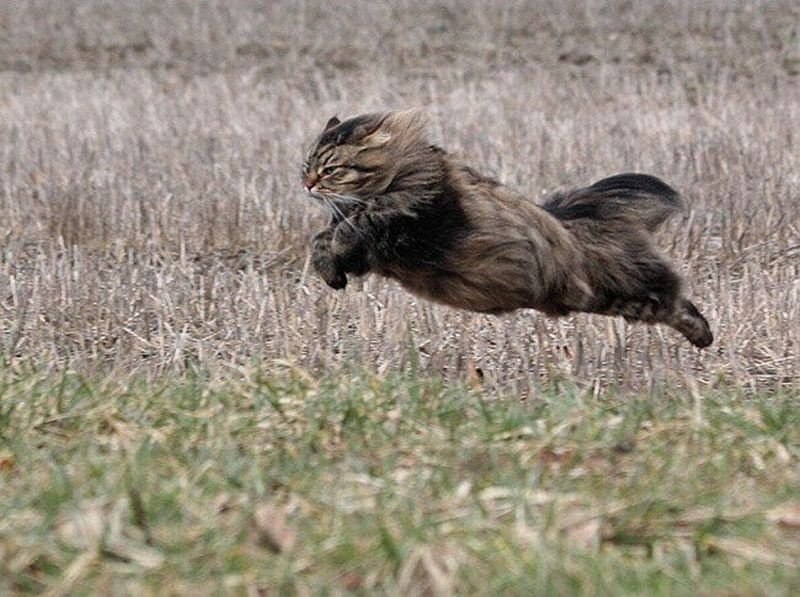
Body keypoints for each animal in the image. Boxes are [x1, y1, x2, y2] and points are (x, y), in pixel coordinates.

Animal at [300, 109, 712, 346]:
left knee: (675, 298)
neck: (402, 173)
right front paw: (332, 275)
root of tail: (573, 220)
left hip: (621, 289)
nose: (307, 184)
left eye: (330, 169)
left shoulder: (408, 220)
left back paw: (704, 336)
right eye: (307, 165)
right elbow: (323, 239)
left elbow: (357, 224)